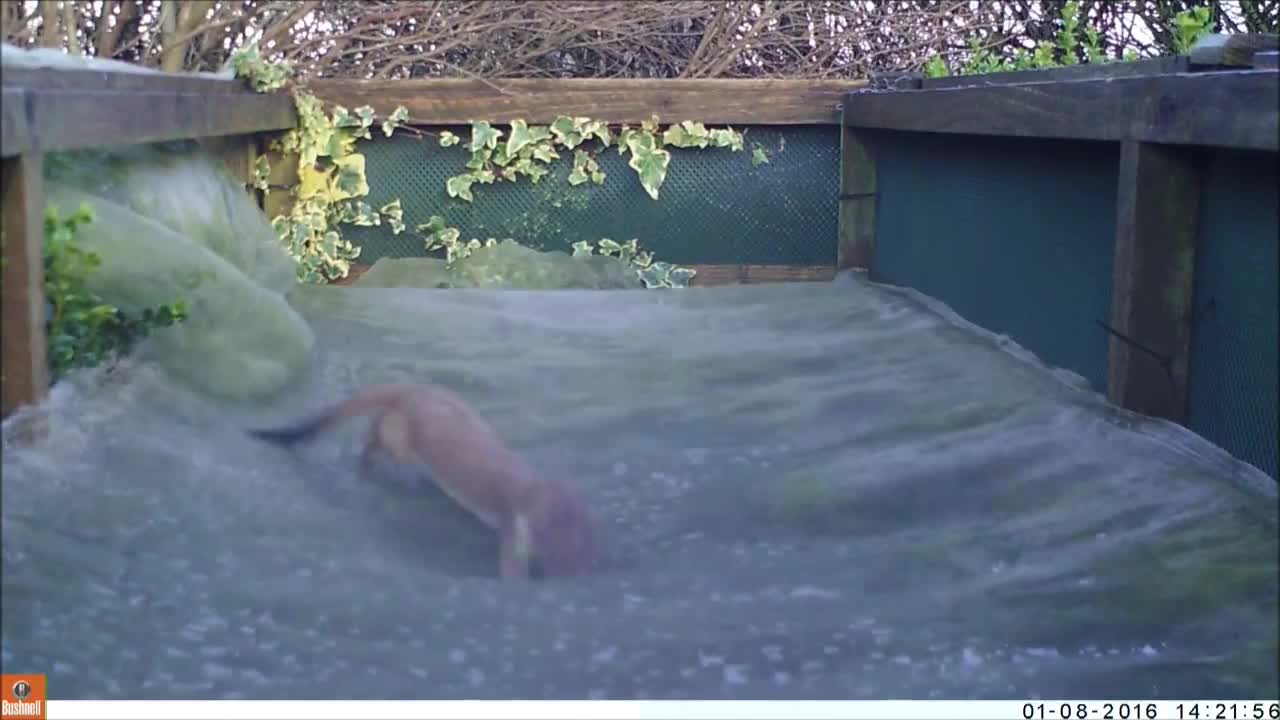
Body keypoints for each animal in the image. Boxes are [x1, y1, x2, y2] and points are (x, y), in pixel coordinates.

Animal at [252, 381, 606, 576]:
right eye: (547, 546)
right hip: (400, 435)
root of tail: (413, 388)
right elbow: (510, 566)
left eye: (588, 548)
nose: (572, 575)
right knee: (374, 439)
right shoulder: (512, 531)